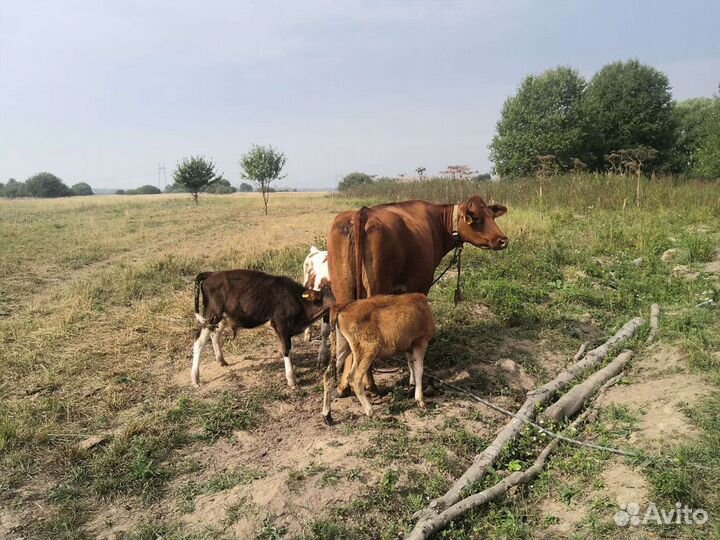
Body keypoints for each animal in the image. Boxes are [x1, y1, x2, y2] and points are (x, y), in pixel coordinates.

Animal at [191, 269, 334, 388]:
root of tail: (212, 274)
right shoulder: (281, 324)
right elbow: (286, 350)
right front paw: (292, 380)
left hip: (222, 317)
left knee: (214, 334)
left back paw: (221, 360)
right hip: (212, 314)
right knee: (199, 342)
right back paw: (195, 379)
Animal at [322, 293, 435, 423]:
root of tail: (342, 307)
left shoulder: (408, 346)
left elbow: (411, 365)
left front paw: (412, 385)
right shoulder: (420, 341)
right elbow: (419, 370)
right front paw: (421, 401)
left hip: (342, 347)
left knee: (328, 374)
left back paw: (327, 416)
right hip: (367, 349)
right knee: (354, 378)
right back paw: (371, 413)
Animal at [327, 195, 508, 396]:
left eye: (492, 215)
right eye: (475, 218)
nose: (503, 240)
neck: (438, 223)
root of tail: (361, 213)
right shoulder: (420, 285)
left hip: (342, 289)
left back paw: (344, 385)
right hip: (376, 289)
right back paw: (370, 385)